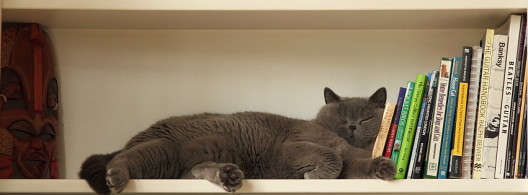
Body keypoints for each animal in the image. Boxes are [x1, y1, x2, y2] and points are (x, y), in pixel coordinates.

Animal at [79, 87, 396, 194]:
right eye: (342, 115)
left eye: (365, 118)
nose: (352, 125)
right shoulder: (293, 146)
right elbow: (332, 157)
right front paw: (315, 176)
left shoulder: (352, 161)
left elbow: (355, 165)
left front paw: (384, 166)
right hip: (164, 150)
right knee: (121, 159)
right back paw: (116, 176)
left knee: (194, 173)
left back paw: (227, 175)